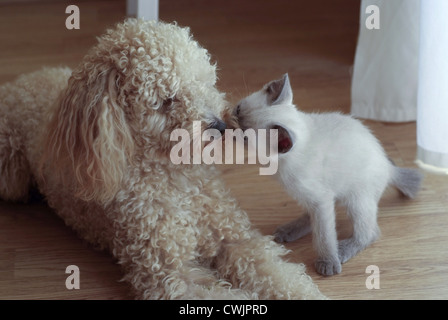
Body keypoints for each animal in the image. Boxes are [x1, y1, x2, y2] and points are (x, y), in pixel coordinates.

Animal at [234, 74, 424, 276]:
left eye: (246, 137)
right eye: (237, 109)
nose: (231, 127)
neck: (279, 163)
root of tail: (388, 165)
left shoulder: (320, 198)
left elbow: (324, 235)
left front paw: (328, 262)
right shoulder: (316, 197)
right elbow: (321, 223)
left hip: (357, 200)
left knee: (369, 233)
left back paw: (342, 250)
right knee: (317, 216)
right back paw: (289, 230)